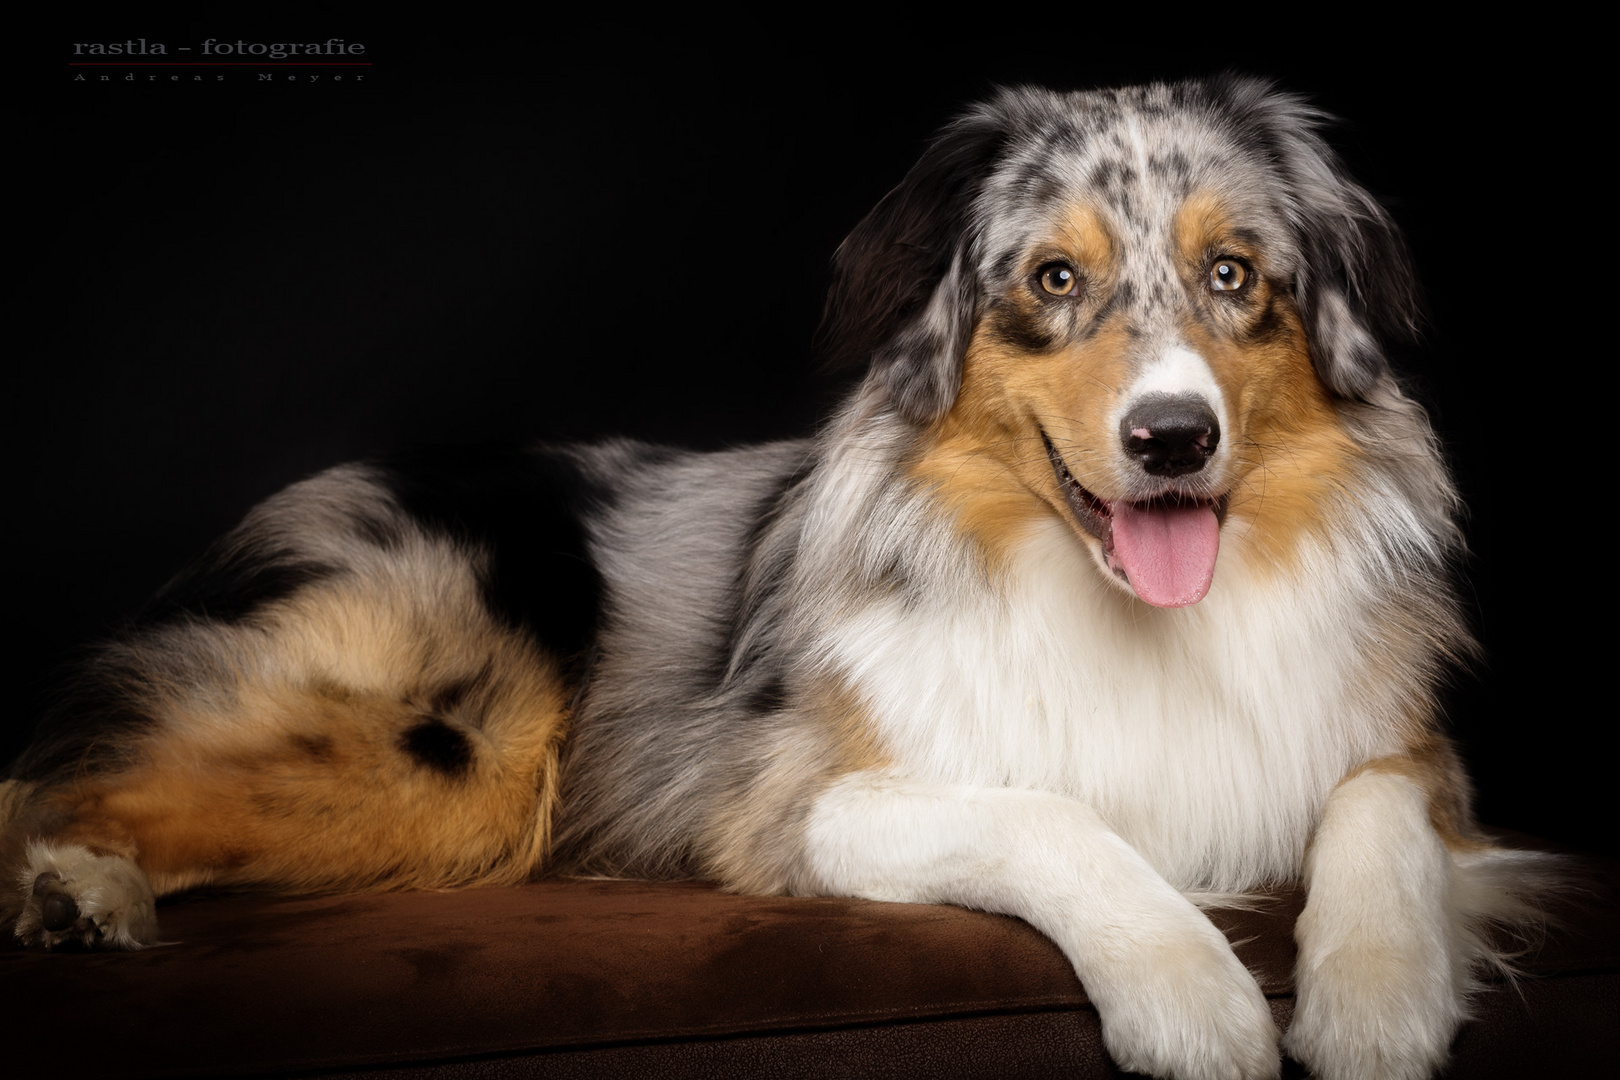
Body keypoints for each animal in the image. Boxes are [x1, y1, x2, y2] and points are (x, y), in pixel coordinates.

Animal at [6, 78, 1548, 1080]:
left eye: (1235, 275)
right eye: (1052, 281)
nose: (1175, 438)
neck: (1127, 615)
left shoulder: (1401, 749)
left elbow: (1378, 806)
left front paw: (1374, 1003)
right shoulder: (794, 804)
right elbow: (1051, 815)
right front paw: (1195, 998)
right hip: (453, 754)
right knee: (50, 775)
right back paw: (76, 891)